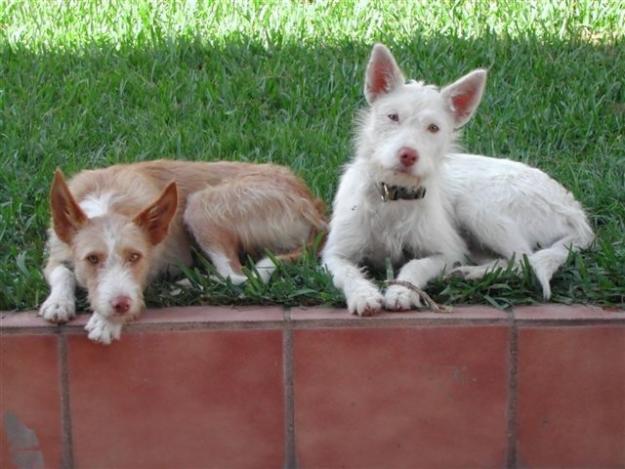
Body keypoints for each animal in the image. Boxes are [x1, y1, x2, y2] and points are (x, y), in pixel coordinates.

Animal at [40, 159, 324, 342]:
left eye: (135, 257)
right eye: (92, 259)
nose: (120, 305)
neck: (107, 203)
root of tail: (312, 204)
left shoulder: (148, 268)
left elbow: (133, 291)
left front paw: (106, 321)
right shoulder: (56, 253)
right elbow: (62, 273)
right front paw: (58, 302)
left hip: (201, 204)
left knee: (237, 276)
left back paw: (187, 284)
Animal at [324, 44, 592, 314]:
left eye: (433, 128)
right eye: (393, 117)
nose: (408, 155)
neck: (393, 195)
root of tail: (574, 209)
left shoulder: (447, 252)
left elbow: (415, 265)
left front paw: (401, 291)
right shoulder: (333, 254)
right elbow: (348, 273)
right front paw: (363, 295)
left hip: (475, 207)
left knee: (523, 260)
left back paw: (472, 274)